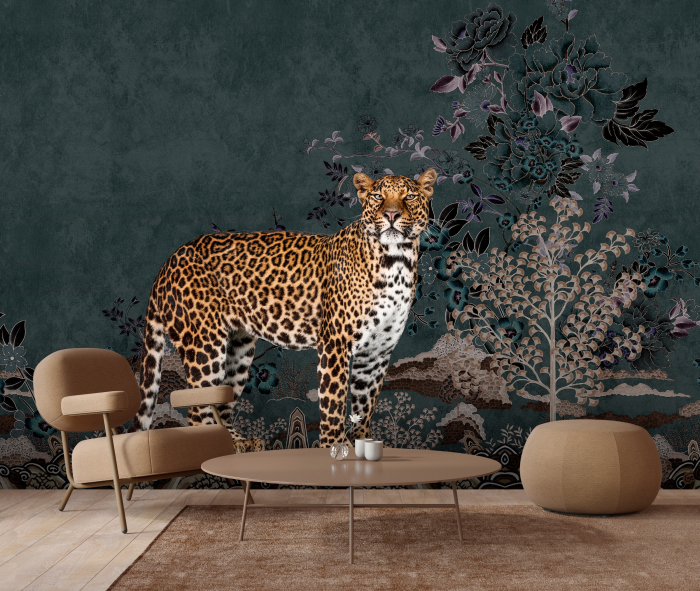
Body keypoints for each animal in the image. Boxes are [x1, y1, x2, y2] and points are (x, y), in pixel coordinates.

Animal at [131, 169, 437, 450]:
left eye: (409, 196)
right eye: (378, 197)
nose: (391, 215)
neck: (396, 261)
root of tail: (167, 262)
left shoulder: (376, 353)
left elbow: (364, 406)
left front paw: (360, 444)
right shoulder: (335, 344)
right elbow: (334, 403)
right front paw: (334, 447)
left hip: (238, 351)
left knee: (221, 405)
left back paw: (240, 444)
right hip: (204, 347)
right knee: (198, 411)